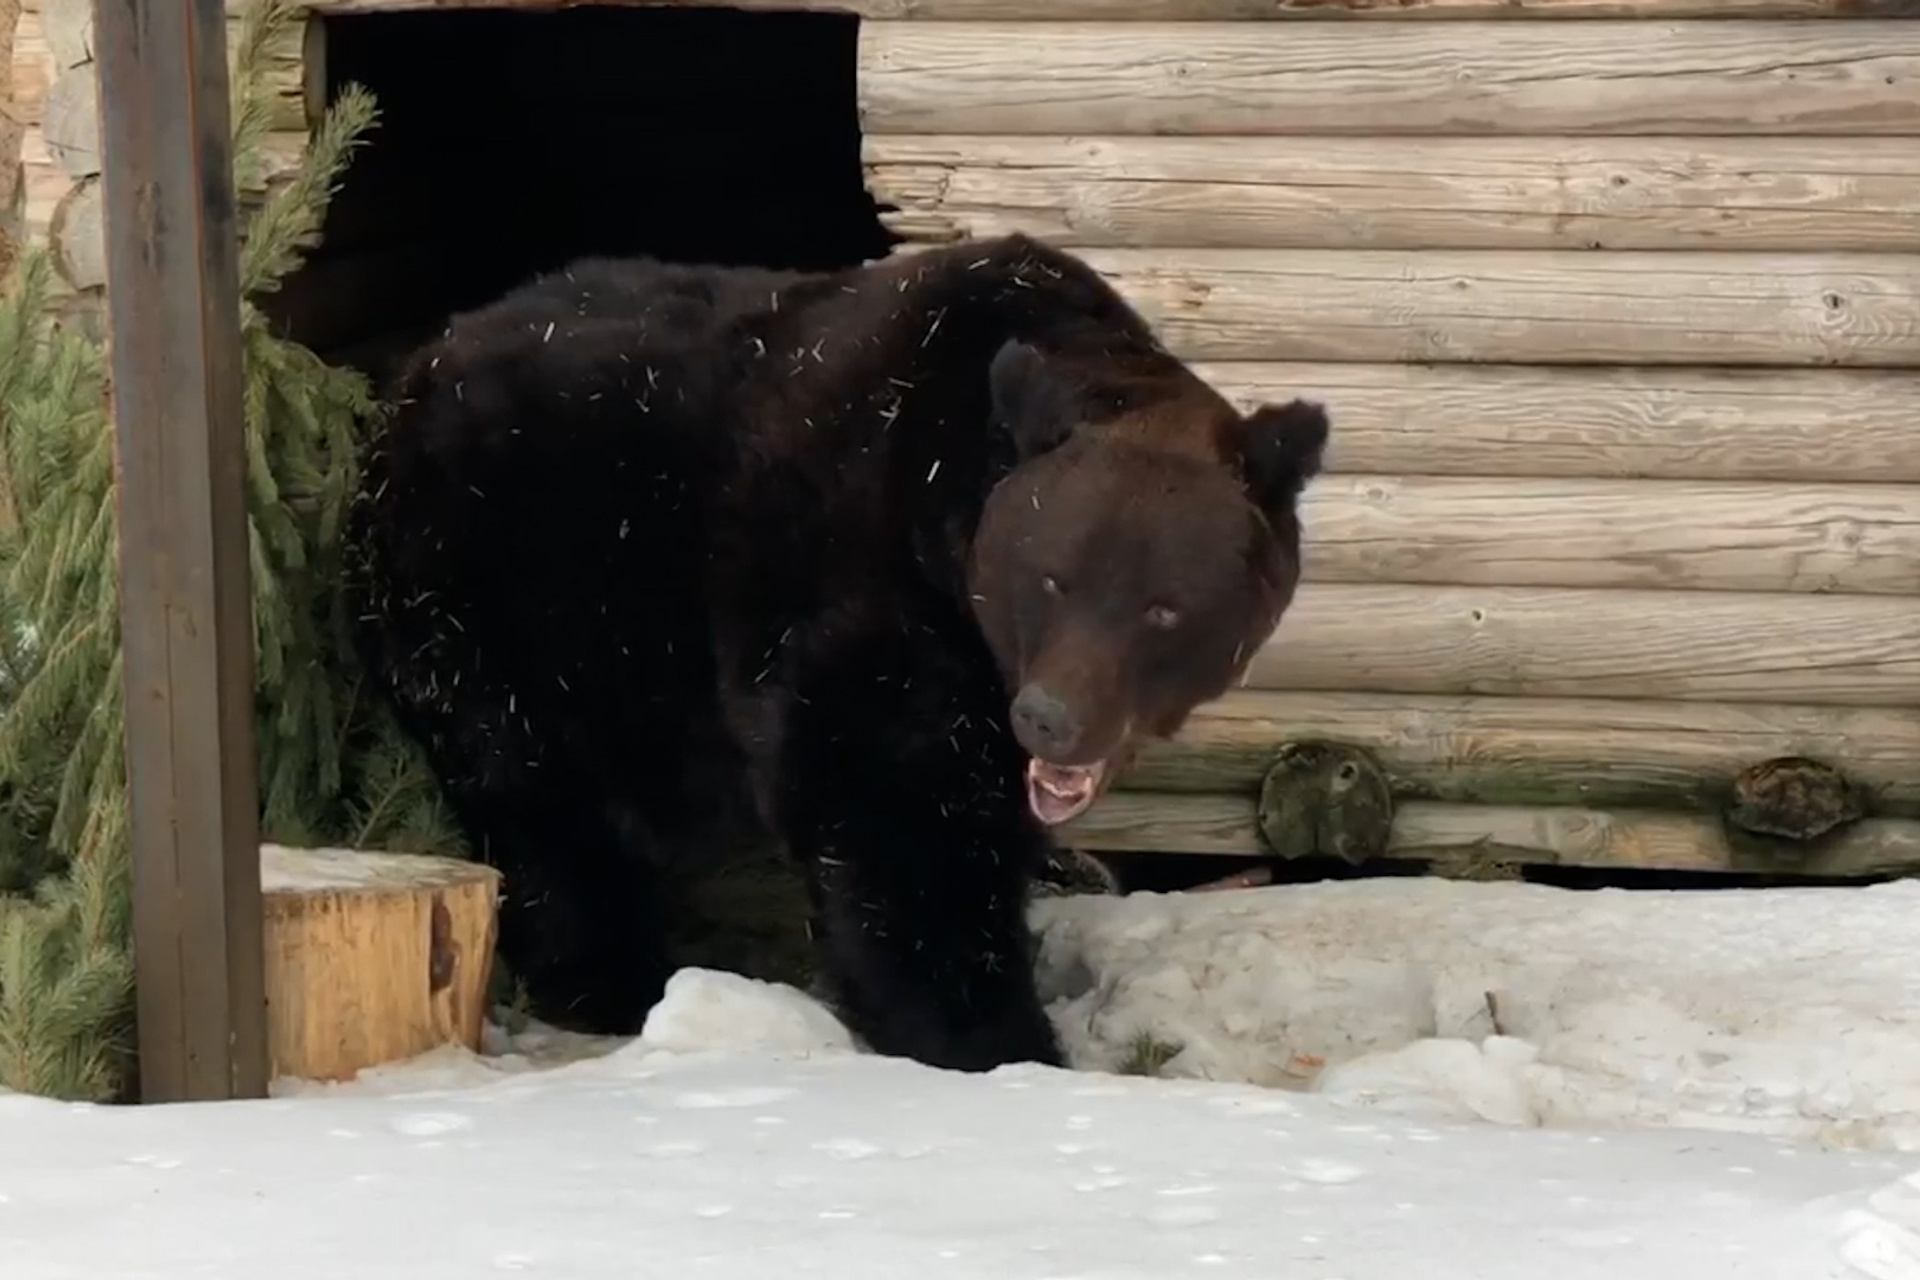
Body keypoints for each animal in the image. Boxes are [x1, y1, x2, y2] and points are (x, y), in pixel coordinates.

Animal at [345, 230, 1328, 1074]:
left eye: (1164, 607)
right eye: (1051, 578)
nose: (1052, 717)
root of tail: (416, 366)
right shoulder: (862, 587)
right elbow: (898, 821)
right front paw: (991, 1035)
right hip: (501, 595)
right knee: (537, 801)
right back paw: (615, 976)